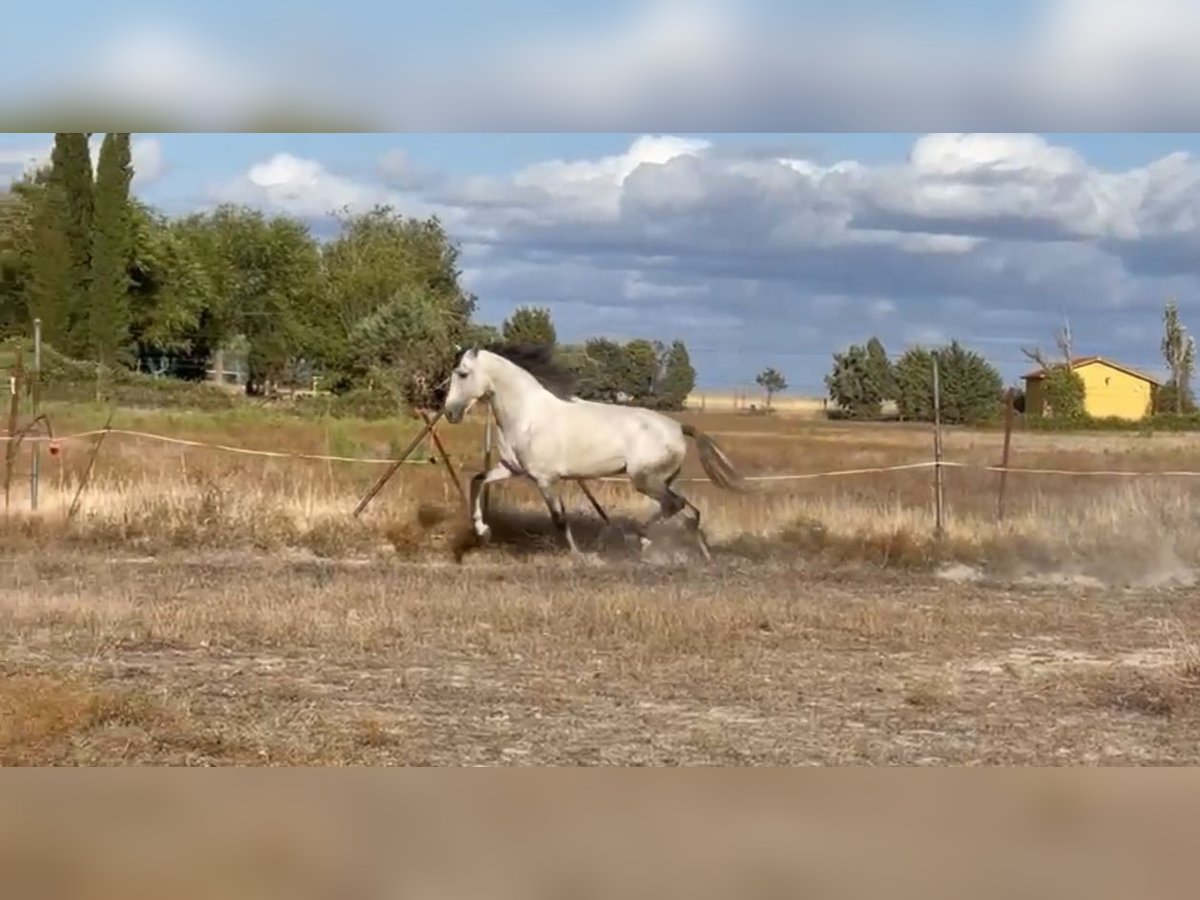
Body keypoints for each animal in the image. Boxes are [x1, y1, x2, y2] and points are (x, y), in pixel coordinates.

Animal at [441, 343, 739, 556]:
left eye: (462, 374)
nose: (450, 412)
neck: (528, 414)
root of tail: (678, 427)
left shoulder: (545, 479)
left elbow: (559, 518)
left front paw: (578, 556)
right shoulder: (512, 469)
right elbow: (477, 481)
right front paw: (483, 532)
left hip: (645, 479)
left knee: (675, 506)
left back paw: (638, 540)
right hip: (660, 480)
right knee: (689, 513)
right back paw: (697, 555)